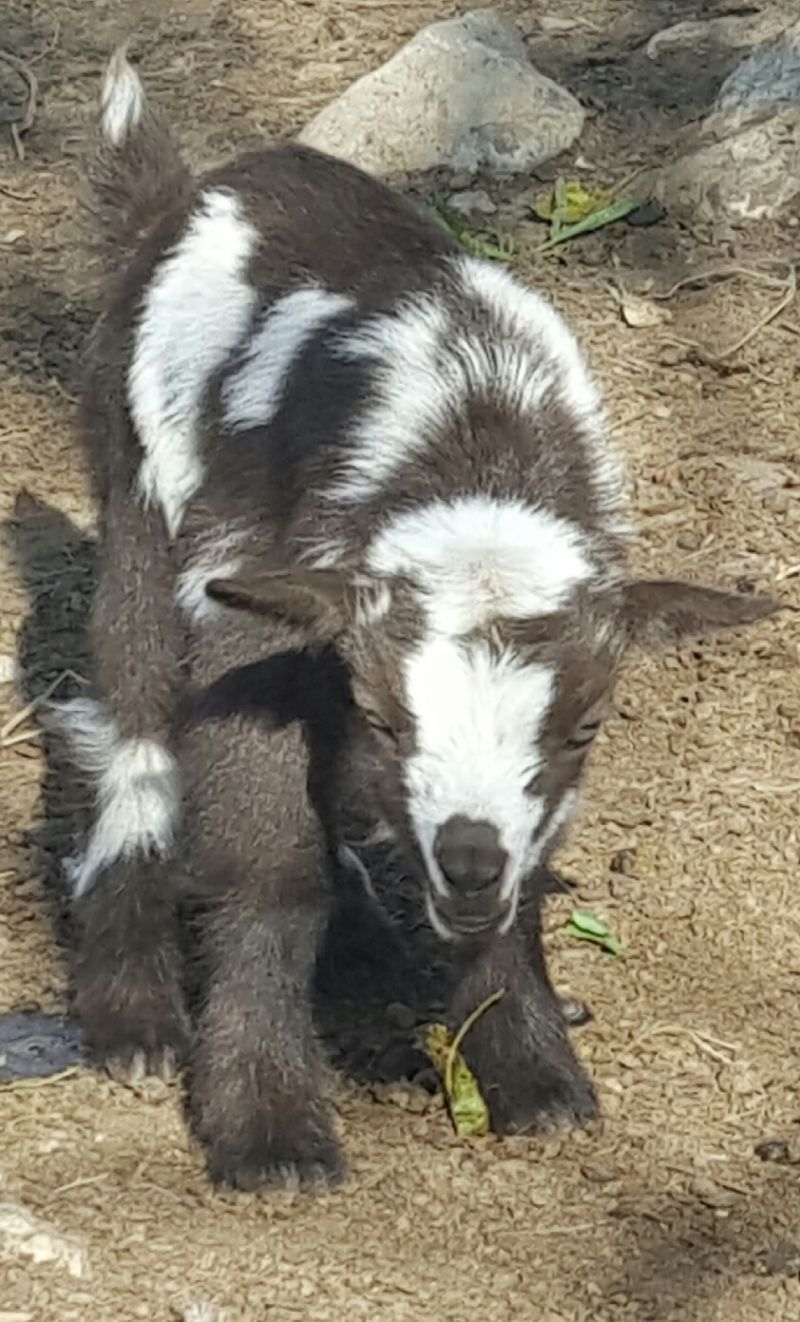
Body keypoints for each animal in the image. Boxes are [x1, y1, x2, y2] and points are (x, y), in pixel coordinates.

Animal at [58, 47, 775, 1190]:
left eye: (586, 725)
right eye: (386, 718)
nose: (468, 862)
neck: (476, 439)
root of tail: (187, 192)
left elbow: (520, 887)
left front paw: (530, 1067)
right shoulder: (254, 600)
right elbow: (269, 863)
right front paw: (269, 1129)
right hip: (138, 475)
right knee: (128, 719)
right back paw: (135, 1016)